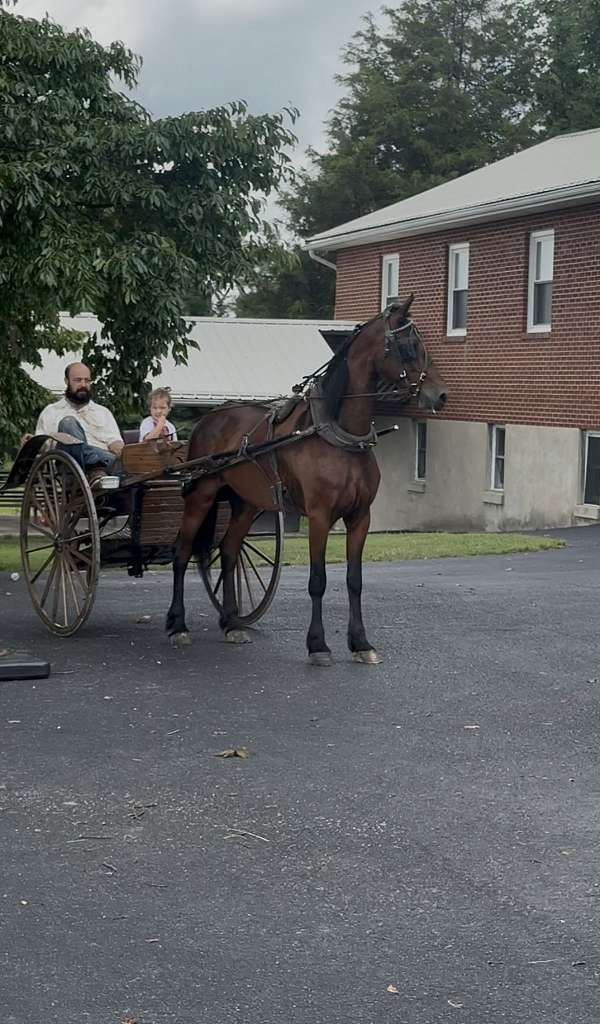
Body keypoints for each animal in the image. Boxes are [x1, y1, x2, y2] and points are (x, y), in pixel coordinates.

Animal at [166, 295, 447, 664]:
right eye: (407, 346)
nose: (439, 395)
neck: (338, 435)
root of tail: (211, 418)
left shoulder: (360, 517)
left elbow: (354, 580)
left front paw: (361, 642)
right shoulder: (318, 516)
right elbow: (318, 579)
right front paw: (318, 644)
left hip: (246, 502)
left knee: (228, 551)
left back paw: (231, 623)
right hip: (202, 494)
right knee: (182, 551)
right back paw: (178, 624)